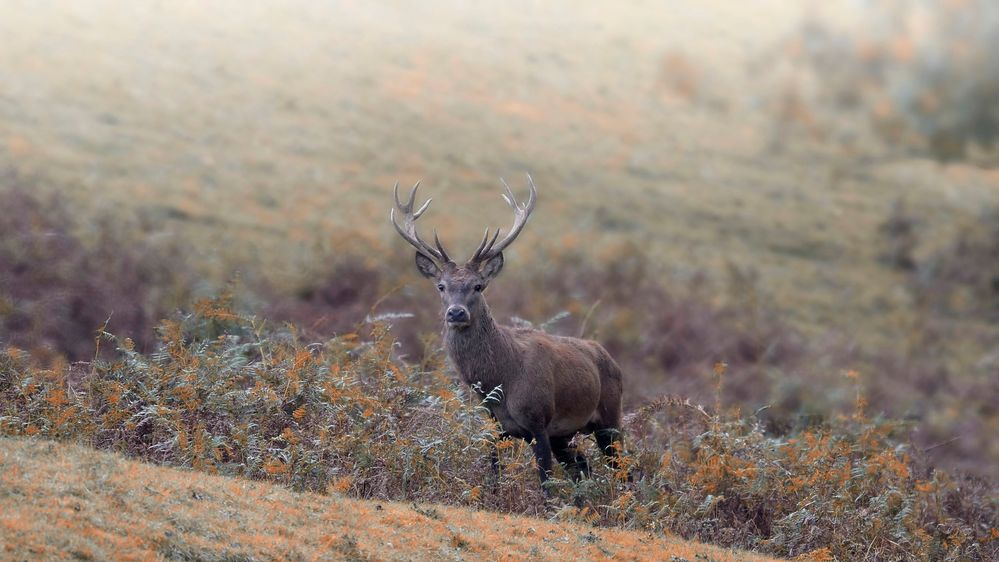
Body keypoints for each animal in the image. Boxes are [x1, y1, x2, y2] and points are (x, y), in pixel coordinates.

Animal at [390, 174, 624, 486]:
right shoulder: (495, 426)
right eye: (441, 286)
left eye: (478, 285)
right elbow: (493, 476)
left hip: (610, 416)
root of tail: (611, 359)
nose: (456, 312)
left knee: (626, 469)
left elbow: (546, 483)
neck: (501, 380)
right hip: (566, 434)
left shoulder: (539, 421)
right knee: (583, 467)